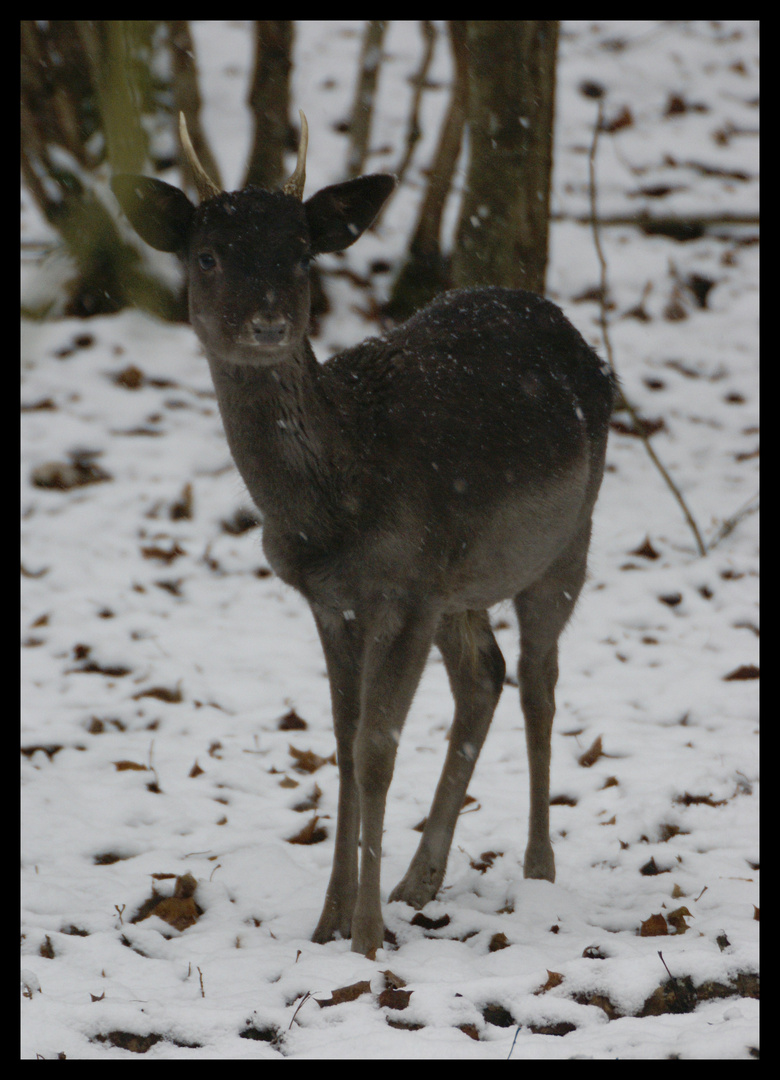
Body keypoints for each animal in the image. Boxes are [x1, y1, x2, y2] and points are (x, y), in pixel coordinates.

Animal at [110, 109, 613, 954]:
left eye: (301, 252)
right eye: (207, 254)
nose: (269, 320)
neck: (332, 511)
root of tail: (578, 338)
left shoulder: (405, 586)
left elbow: (377, 749)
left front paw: (368, 938)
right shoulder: (332, 598)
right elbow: (342, 745)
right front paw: (328, 923)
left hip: (565, 539)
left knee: (539, 681)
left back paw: (538, 867)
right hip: (463, 578)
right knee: (485, 675)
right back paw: (421, 879)